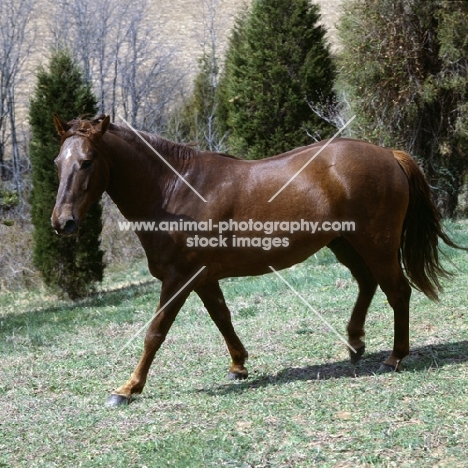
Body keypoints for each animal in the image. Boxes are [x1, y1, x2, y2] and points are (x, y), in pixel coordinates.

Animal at [51, 114, 460, 406]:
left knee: (398, 291)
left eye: (87, 162)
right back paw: (355, 343)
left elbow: (156, 332)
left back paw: (394, 357)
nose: (62, 222)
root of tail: (389, 154)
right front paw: (238, 365)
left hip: (377, 244)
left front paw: (128, 388)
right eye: (58, 162)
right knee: (367, 282)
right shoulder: (202, 277)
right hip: (344, 243)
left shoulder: (179, 277)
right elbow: (222, 317)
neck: (175, 189)